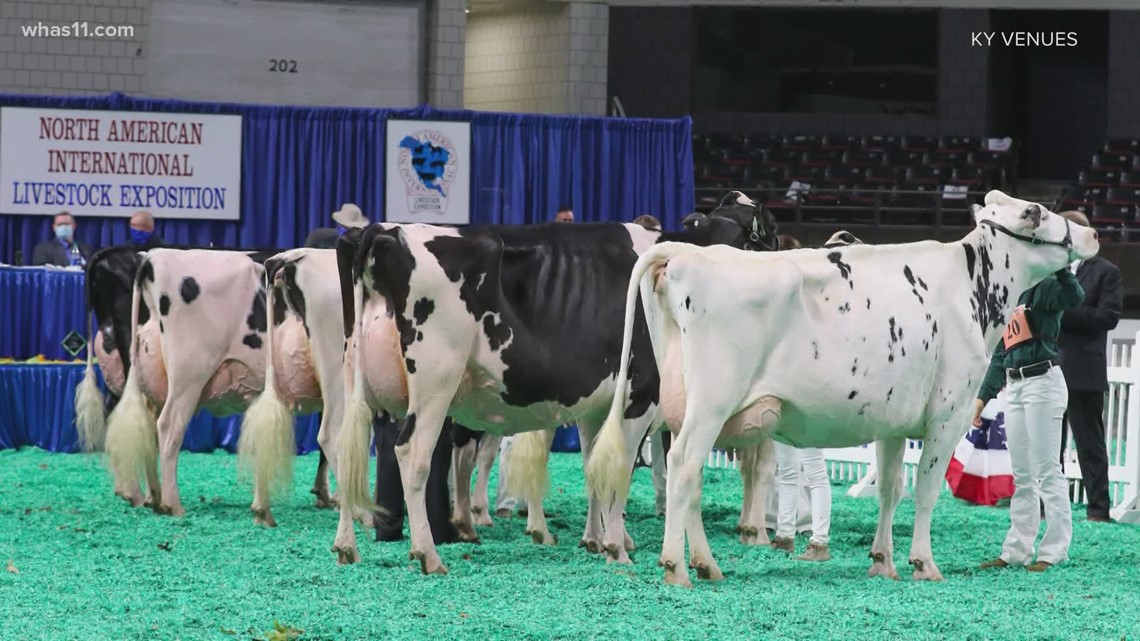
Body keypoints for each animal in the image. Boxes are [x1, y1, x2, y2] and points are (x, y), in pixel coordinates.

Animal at [326, 189, 779, 568]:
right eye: (769, 236)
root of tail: (384, 231)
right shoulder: (639, 395)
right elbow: (620, 468)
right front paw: (618, 547)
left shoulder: (597, 403)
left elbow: (593, 464)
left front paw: (595, 540)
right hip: (435, 379)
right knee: (412, 454)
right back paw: (429, 553)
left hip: (355, 376)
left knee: (348, 445)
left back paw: (346, 546)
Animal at [588, 188, 1094, 583]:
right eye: (1036, 211)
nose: (1090, 234)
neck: (971, 288)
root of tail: (684, 254)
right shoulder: (947, 413)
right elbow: (926, 489)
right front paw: (924, 563)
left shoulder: (893, 419)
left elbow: (891, 487)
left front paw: (883, 561)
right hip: (711, 401)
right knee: (684, 466)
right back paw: (676, 567)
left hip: (680, 404)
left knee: (685, 474)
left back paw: (706, 564)